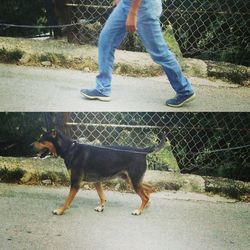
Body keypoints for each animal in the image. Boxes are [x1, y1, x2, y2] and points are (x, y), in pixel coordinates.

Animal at [33, 131, 166, 215]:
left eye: (41, 140)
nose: (30, 144)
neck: (70, 149)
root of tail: (142, 150)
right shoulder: (97, 182)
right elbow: (102, 197)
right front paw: (101, 207)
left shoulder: (75, 183)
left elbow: (67, 201)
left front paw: (60, 210)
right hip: (131, 180)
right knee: (149, 189)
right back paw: (145, 205)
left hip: (134, 181)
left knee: (145, 195)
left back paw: (139, 210)